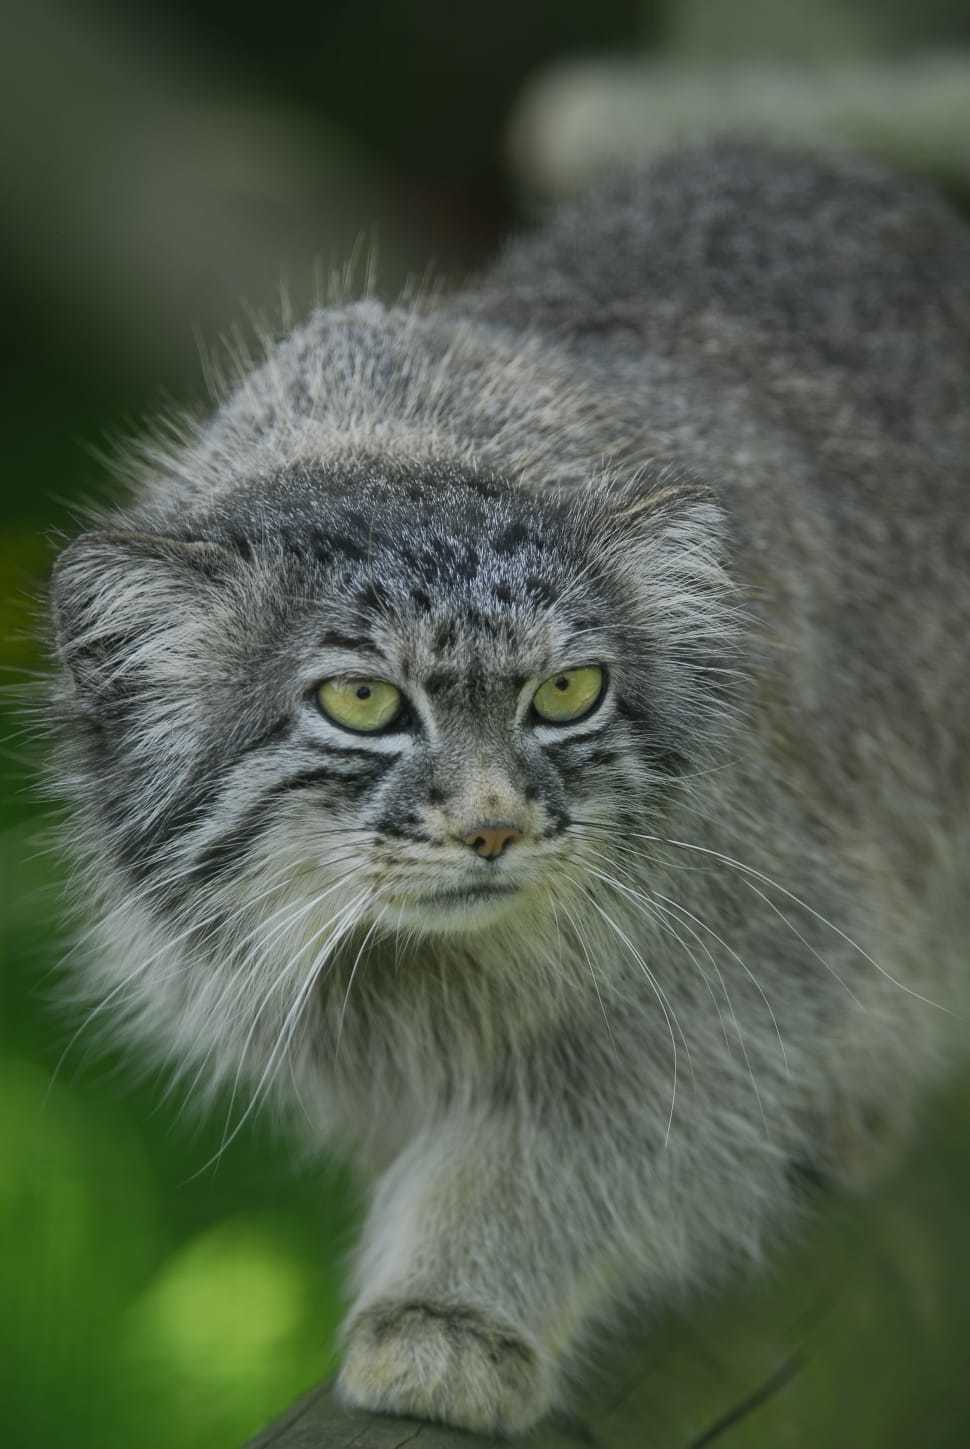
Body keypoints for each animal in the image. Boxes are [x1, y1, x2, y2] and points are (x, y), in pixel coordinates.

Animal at [49, 141, 968, 1431]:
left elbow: (561, 1149)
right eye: (364, 703)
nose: (494, 829)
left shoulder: (735, 970)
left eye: (568, 693)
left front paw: (452, 1311)